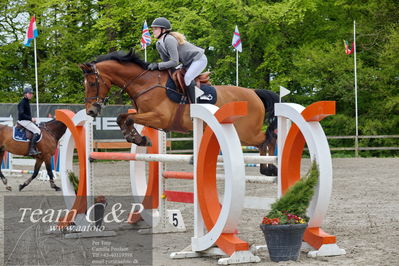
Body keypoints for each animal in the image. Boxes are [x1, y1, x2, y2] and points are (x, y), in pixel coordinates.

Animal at [81, 50, 280, 176]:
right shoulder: (147, 116)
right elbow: (122, 118)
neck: (144, 83)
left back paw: (269, 168)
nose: (90, 110)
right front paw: (138, 138)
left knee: (267, 138)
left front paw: (138, 138)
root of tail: (254, 93)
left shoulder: (160, 118)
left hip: (246, 132)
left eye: (92, 83)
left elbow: (127, 118)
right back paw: (266, 168)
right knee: (264, 140)